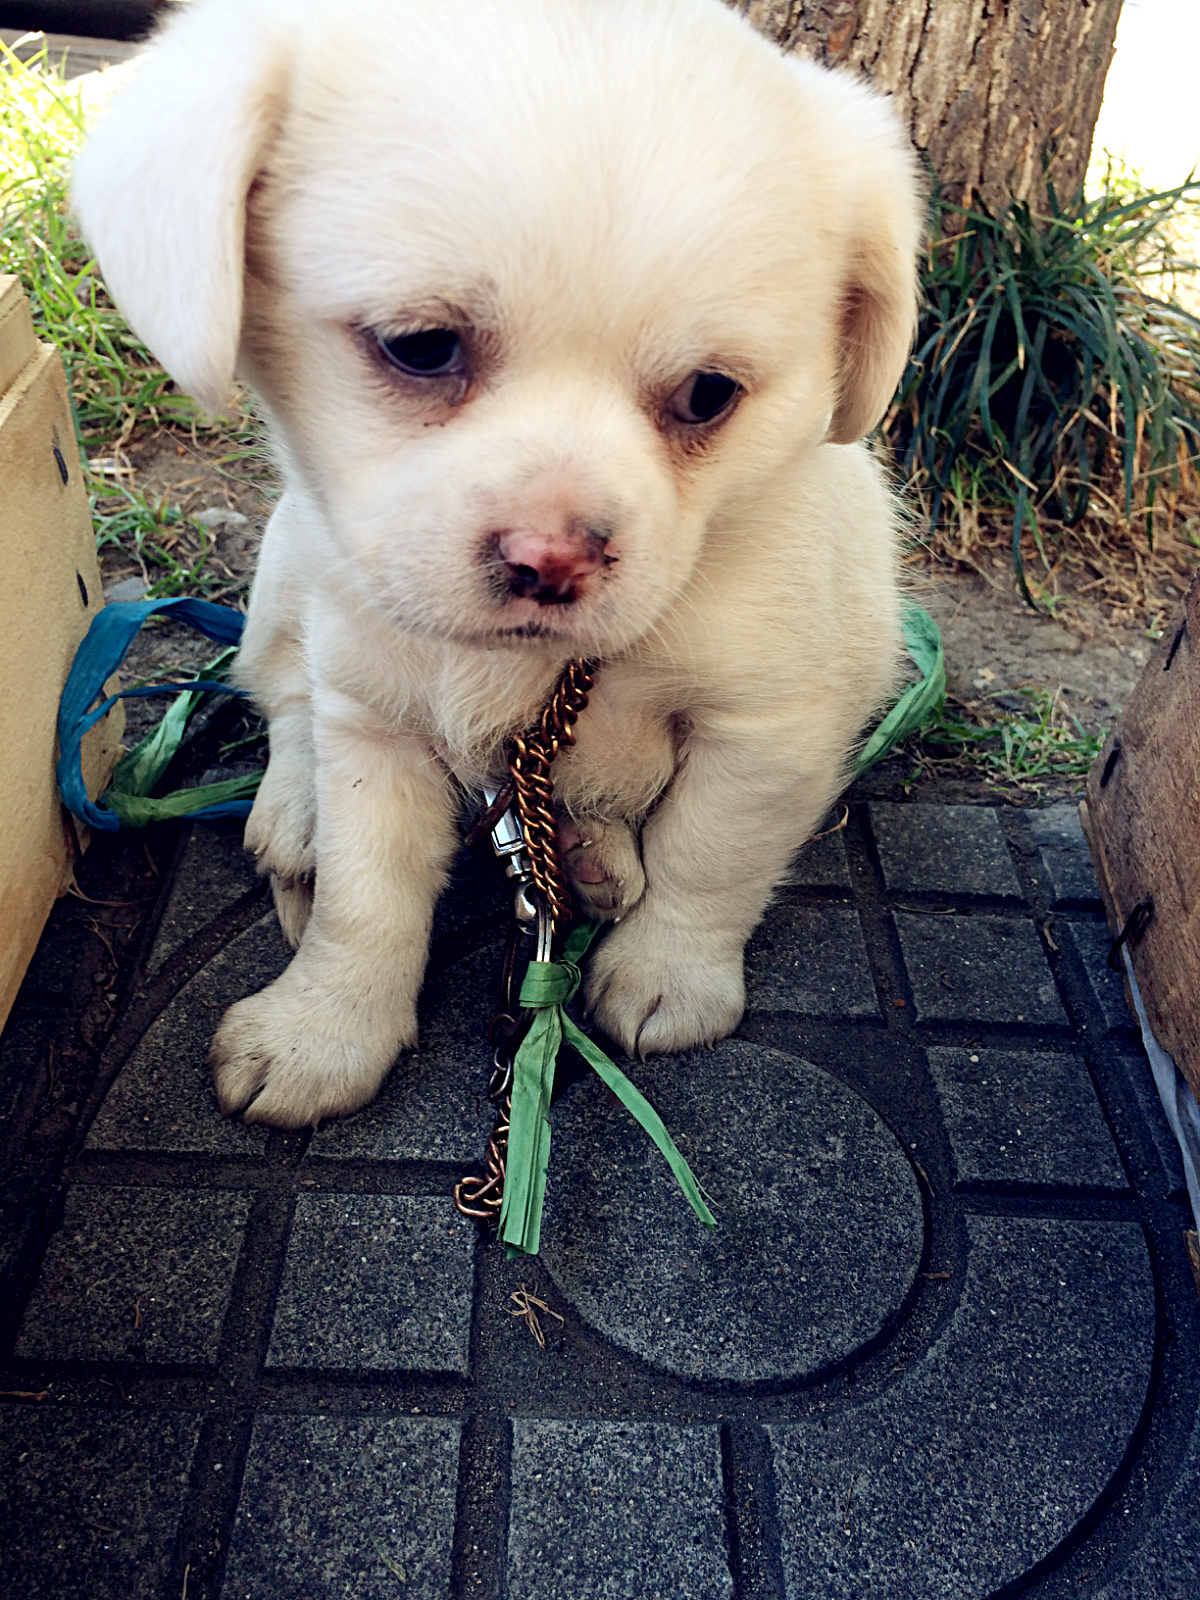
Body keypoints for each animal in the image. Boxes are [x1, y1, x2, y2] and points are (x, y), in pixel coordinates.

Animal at [75, 0, 921, 1132]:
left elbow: (709, 856)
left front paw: (669, 974)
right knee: (286, 699)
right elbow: (365, 894)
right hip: (287, 575)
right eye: (420, 345)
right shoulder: (377, 719)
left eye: (709, 394)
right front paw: (324, 1028)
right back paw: (296, 813)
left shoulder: (770, 729)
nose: (553, 557)